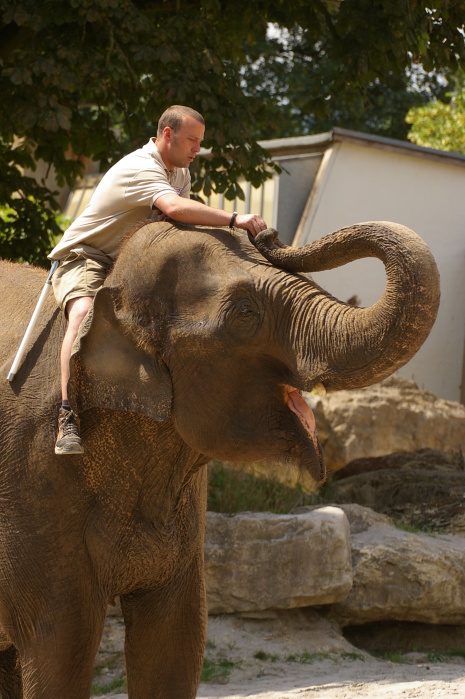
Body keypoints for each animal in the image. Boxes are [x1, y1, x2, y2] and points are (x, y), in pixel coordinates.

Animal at [0, 220, 438, 699]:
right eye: (245, 313)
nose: (268, 233)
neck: (107, 291)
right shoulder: (32, 480)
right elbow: (63, 642)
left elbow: (176, 639)